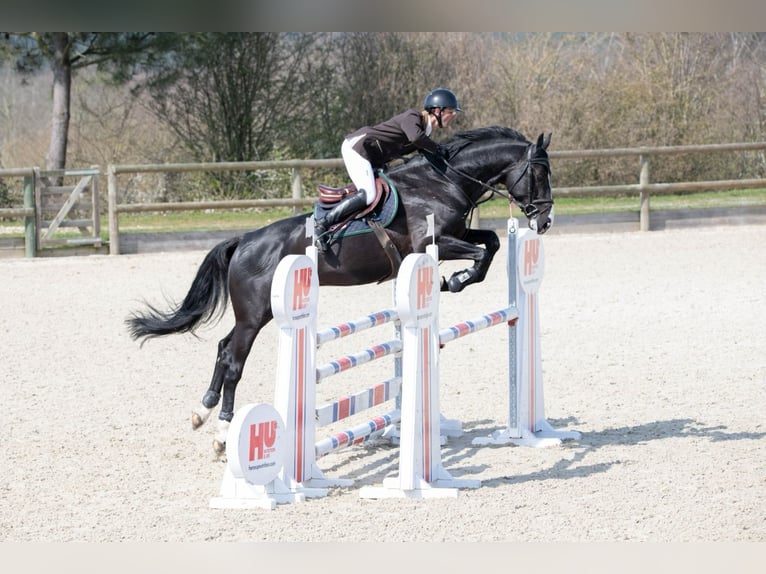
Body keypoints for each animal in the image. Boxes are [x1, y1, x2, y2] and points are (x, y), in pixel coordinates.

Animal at [129, 126, 556, 454]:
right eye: (539, 172)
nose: (545, 220)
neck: (442, 182)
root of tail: (245, 241)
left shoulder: (458, 235)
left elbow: (492, 242)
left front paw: (454, 279)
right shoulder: (432, 242)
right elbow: (482, 252)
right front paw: (455, 279)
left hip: (254, 313)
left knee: (222, 347)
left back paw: (201, 413)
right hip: (254, 314)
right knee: (234, 359)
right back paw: (221, 433)